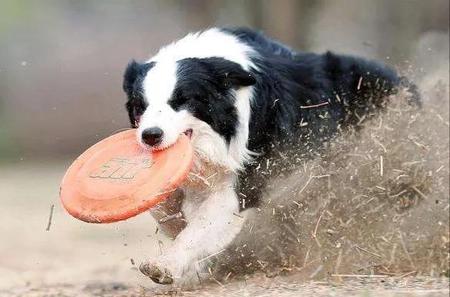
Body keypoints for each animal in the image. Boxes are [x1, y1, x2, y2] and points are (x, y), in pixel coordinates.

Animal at [120, 27, 418, 284]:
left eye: (181, 100)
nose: (150, 135)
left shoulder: (241, 181)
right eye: (140, 105)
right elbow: (163, 207)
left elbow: (200, 227)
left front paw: (166, 265)